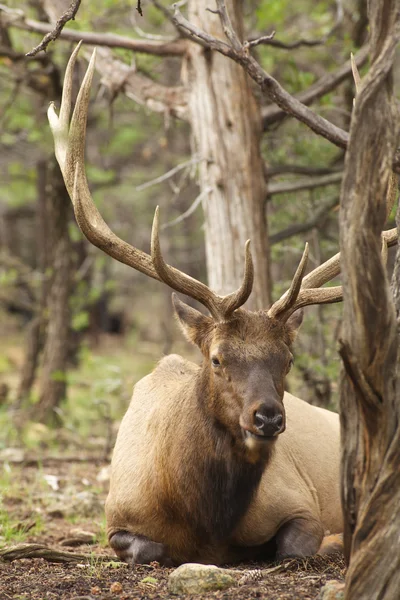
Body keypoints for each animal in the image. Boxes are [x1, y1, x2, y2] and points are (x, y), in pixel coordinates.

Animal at [47, 44, 396, 564]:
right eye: (216, 358)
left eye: (287, 360)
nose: (268, 416)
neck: (205, 519)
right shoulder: (117, 520)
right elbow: (148, 548)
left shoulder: (302, 504)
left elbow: (294, 546)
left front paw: (331, 541)